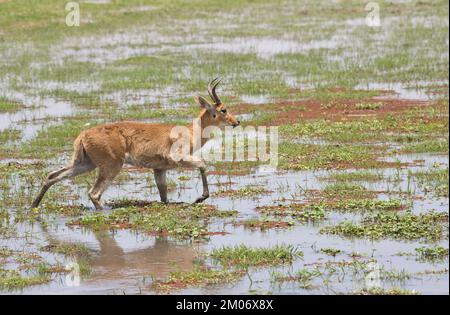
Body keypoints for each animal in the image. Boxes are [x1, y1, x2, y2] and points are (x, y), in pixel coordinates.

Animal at [30, 78, 239, 211]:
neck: (188, 131)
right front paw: (199, 198)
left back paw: (33, 206)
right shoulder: (177, 158)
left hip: (84, 164)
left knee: (52, 175)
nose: (236, 122)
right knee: (94, 193)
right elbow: (203, 164)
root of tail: (83, 135)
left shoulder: (159, 169)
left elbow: (163, 195)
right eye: (223, 109)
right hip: (111, 166)